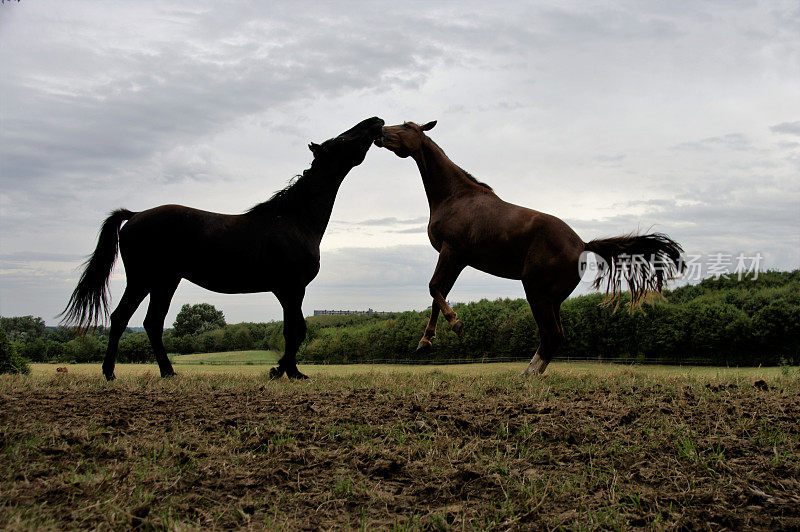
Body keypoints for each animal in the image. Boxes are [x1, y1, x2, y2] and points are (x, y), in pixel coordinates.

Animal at [61, 118, 384, 380]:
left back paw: (167, 372)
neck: (294, 219)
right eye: (342, 139)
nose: (376, 121)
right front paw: (283, 371)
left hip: (165, 282)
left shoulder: (287, 291)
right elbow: (295, 330)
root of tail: (135, 215)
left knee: (151, 323)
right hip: (144, 279)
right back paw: (111, 373)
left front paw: (288, 371)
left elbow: (294, 329)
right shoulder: (291, 288)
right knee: (121, 319)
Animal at [376, 122, 680, 376]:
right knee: (556, 335)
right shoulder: (458, 259)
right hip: (553, 299)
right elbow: (438, 293)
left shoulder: (452, 252)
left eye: (407, 126)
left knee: (551, 334)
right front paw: (426, 340)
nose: (380, 131)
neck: (456, 196)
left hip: (536, 292)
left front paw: (456, 324)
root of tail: (582, 245)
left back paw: (529, 374)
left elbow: (433, 287)